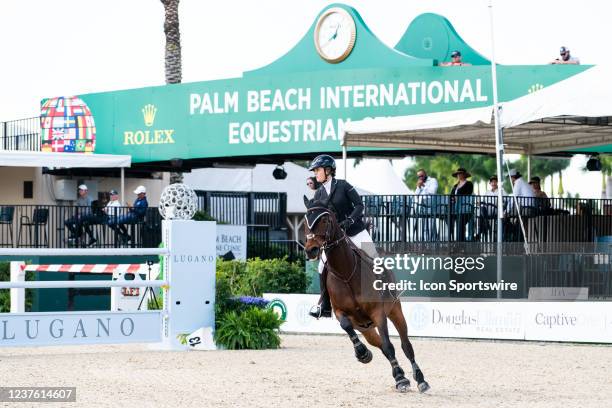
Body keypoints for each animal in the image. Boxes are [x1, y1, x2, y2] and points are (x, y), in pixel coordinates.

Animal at [302, 198, 430, 392]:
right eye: (305, 221)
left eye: (324, 219)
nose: (311, 250)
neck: (345, 272)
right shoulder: (340, 312)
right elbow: (347, 326)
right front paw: (362, 353)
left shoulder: (378, 313)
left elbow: (389, 345)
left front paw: (401, 379)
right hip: (365, 327)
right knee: (379, 344)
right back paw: (395, 371)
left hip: (394, 311)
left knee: (405, 345)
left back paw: (420, 379)